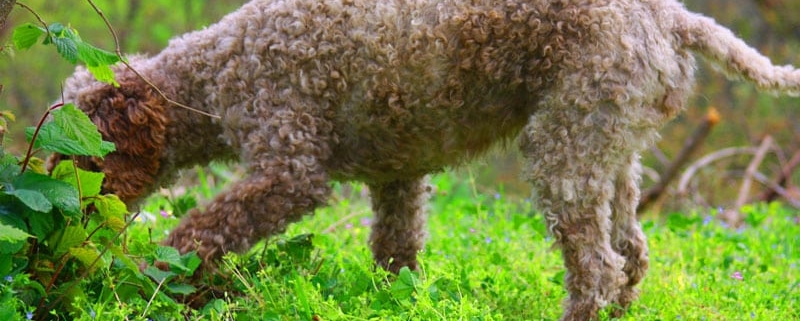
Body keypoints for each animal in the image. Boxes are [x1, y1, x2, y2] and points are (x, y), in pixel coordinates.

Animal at [54, 0, 800, 318]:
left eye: (84, 158)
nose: (75, 225)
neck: (214, 77)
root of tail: (673, 15)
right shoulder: (396, 174)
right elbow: (397, 250)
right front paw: (397, 301)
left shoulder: (288, 172)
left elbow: (199, 231)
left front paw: (157, 279)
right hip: (610, 152)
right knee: (633, 253)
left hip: (565, 150)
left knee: (597, 266)